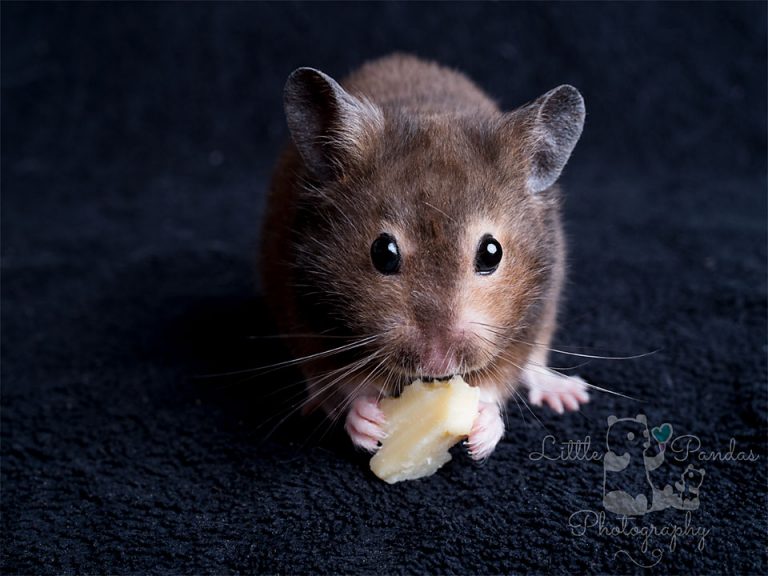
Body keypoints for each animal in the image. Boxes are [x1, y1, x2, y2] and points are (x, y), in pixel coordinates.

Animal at [261, 54, 589, 459]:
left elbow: (498, 382)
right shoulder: (304, 306)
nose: (438, 363)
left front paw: (481, 432)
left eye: (491, 253)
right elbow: (343, 382)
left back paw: (567, 394)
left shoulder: (531, 316)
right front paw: (367, 422)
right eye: (383, 253)